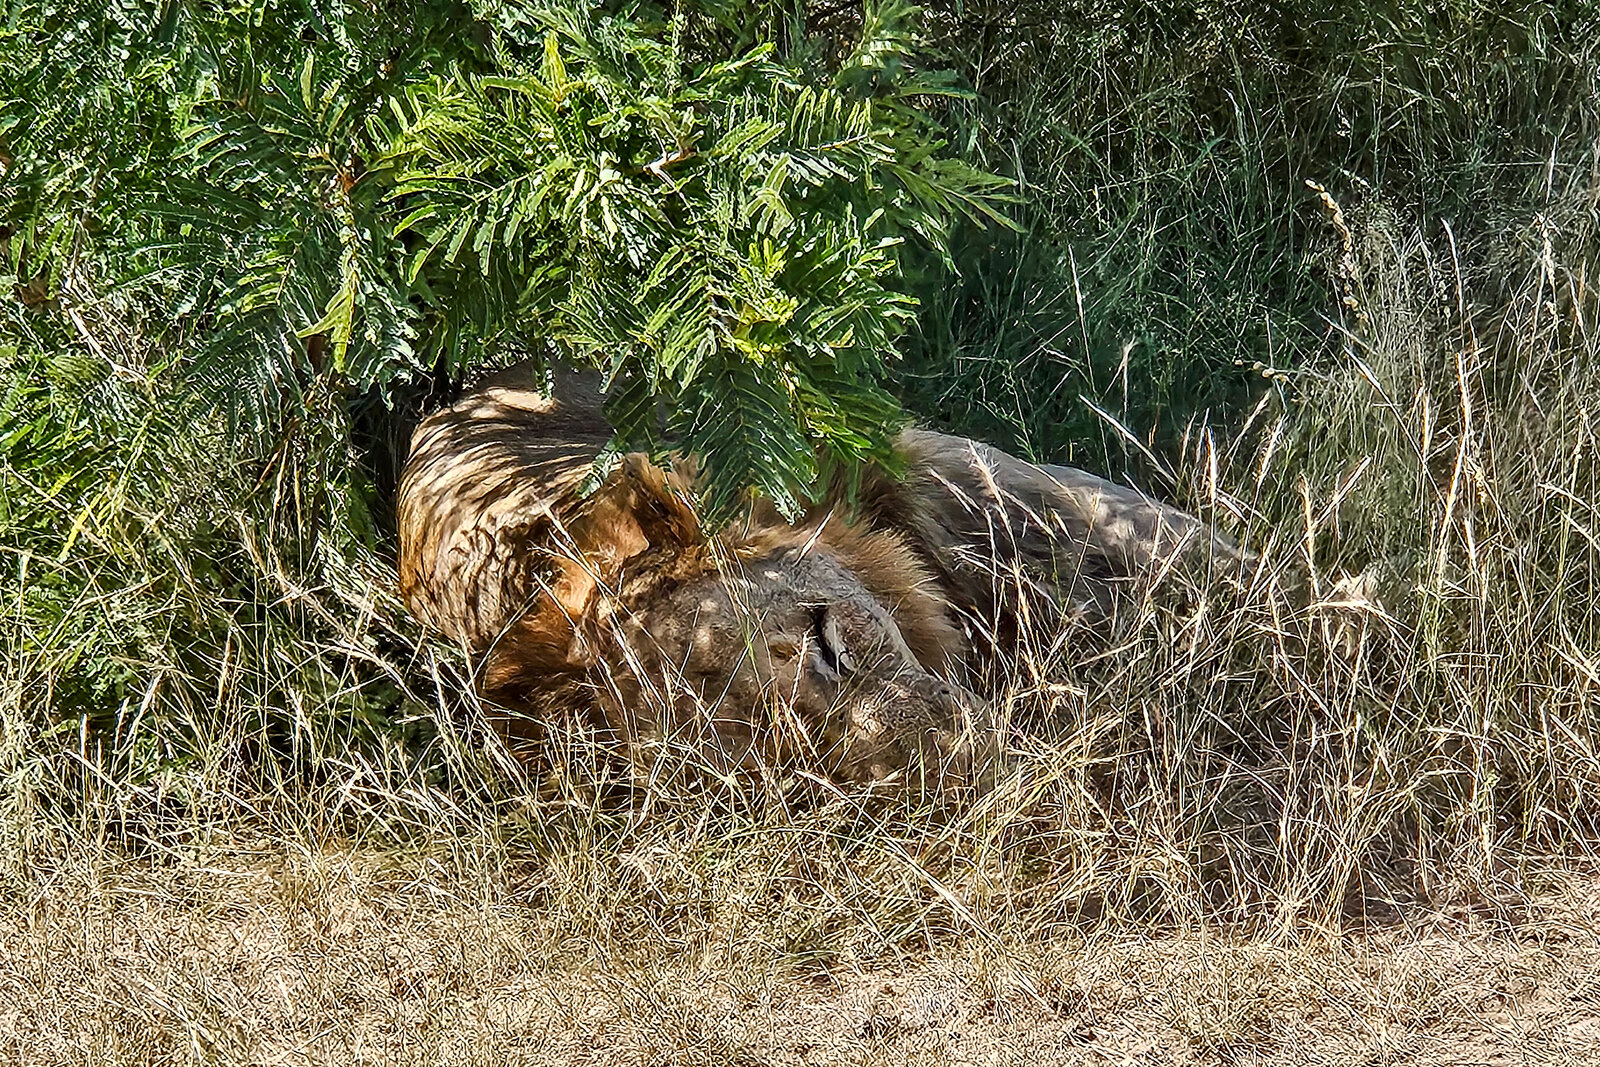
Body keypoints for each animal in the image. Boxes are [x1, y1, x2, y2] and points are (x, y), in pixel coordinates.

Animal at [396, 362, 1249, 793]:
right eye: (789, 758)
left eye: (825, 639)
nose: (965, 774)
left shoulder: (904, 460)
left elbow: (1120, 525)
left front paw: (1256, 592)